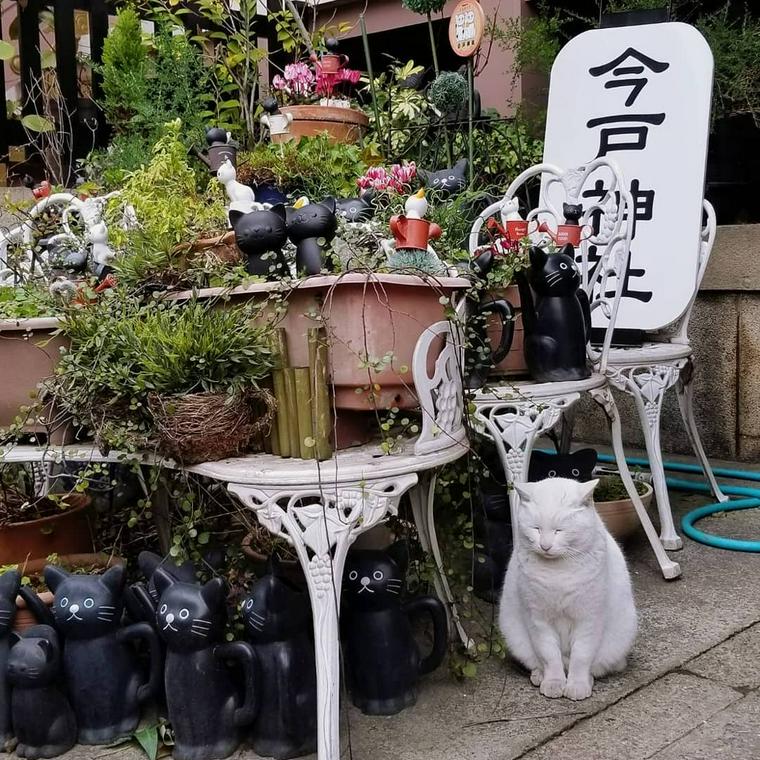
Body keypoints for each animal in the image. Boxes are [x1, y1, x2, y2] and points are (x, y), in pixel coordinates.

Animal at [498, 478, 636, 704]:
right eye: (536, 529)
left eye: (559, 531)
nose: (545, 546)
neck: (558, 573)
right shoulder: (538, 621)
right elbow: (550, 656)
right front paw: (554, 683)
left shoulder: (588, 620)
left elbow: (581, 658)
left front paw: (576, 686)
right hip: (515, 635)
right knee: (545, 662)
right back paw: (540, 676)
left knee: (591, 667)